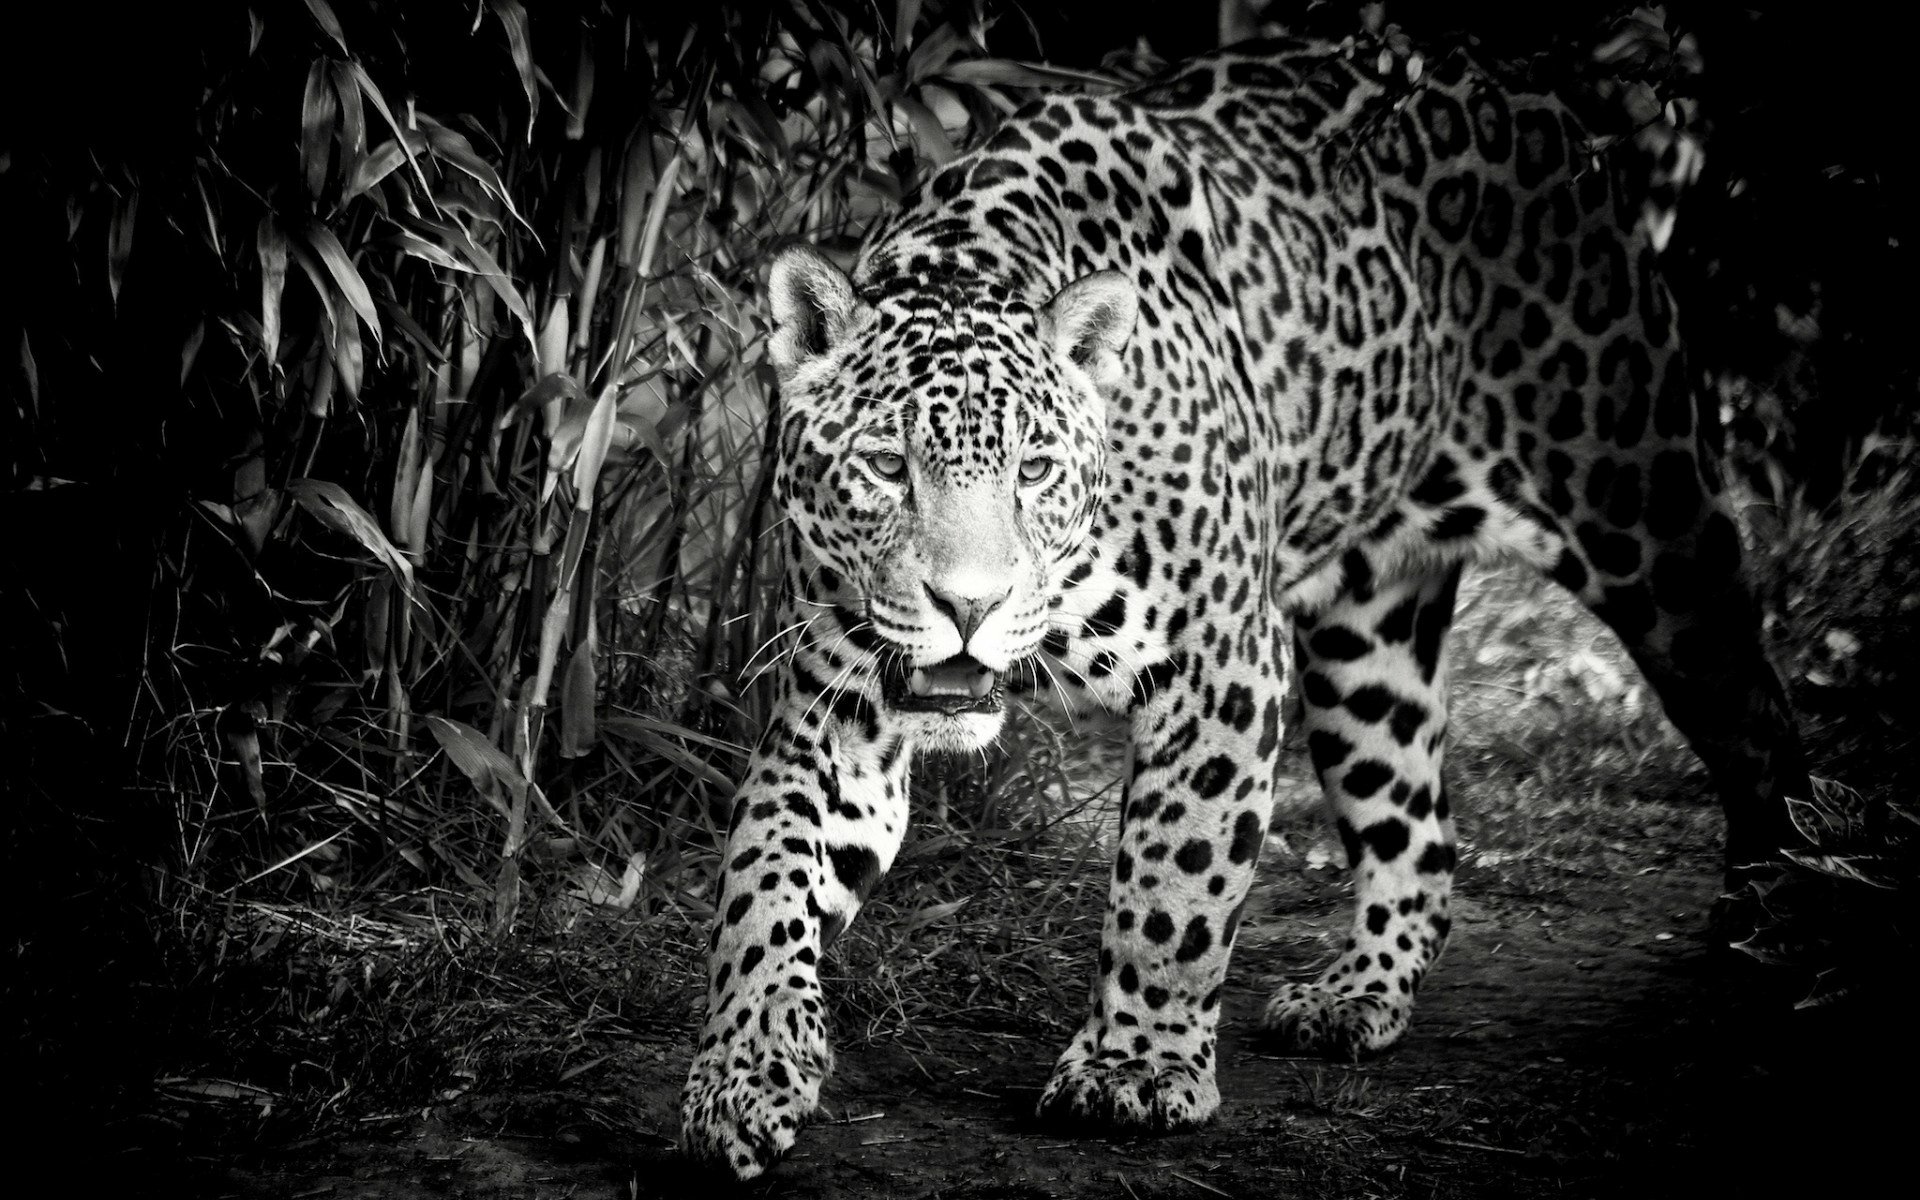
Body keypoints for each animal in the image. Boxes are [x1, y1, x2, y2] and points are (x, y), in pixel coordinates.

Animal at [678, 35, 1806, 1179]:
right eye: (883, 465)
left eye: (1035, 469)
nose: (968, 605)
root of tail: (1514, 84)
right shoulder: (834, 711)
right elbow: (762, 885)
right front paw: (745, 1073)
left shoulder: (1220, 664)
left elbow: (1175, 882)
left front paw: (1134, 1068)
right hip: (1367, 646)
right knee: (1419, 828)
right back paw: (1356, 996)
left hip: (1645, 517)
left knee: (1753, 708)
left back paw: (1776, 914)